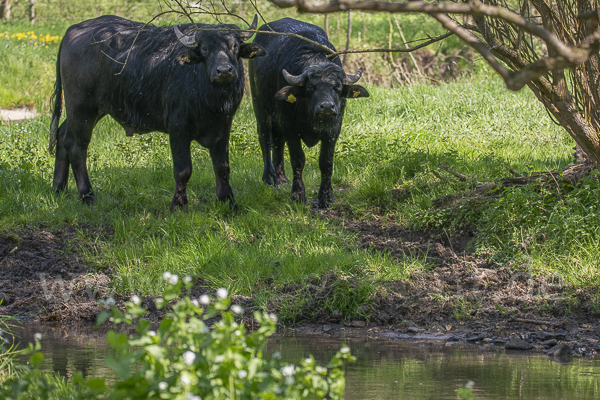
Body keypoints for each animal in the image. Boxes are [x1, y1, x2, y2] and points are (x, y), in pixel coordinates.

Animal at [50, 14, 266, 211]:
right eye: (205, 49)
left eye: (234, 46)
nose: (224, 71)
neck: (211, 98)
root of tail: (72, 31)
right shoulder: (178, 128)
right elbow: (183, 170)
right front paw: (179, 205)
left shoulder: (224, 125)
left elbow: (222, 167)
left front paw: (228, 200)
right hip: (82, 107)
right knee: (77, 146)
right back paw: (87, 196)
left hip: (91, 110)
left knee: (62, 135)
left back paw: (59, 189)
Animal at [248, 17, 370, 208]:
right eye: (311, 87)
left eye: (337, 87)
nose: (326, 107)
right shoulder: (291, 128)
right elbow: (298, 160)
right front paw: (298, 195)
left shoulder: (333, 130)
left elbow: (326, 162)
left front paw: (326, 197)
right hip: (260, 105)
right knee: (265, 138)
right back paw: (269, 178)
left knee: (277, 140)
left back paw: (281, 177)